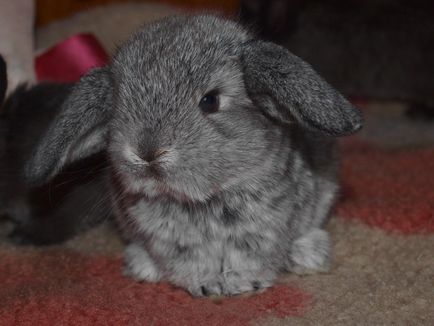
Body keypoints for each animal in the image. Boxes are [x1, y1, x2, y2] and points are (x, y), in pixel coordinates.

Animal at [23, 14, 362, 296]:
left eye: (210, 101)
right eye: (117, 106)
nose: (147, 152)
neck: (204, 199)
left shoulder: (262, 230)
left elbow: (249, 258)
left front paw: (242, 284)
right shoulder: (170, 242)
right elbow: (192, 263)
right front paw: (206, 285)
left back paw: (309, 254)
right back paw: (141, 266)